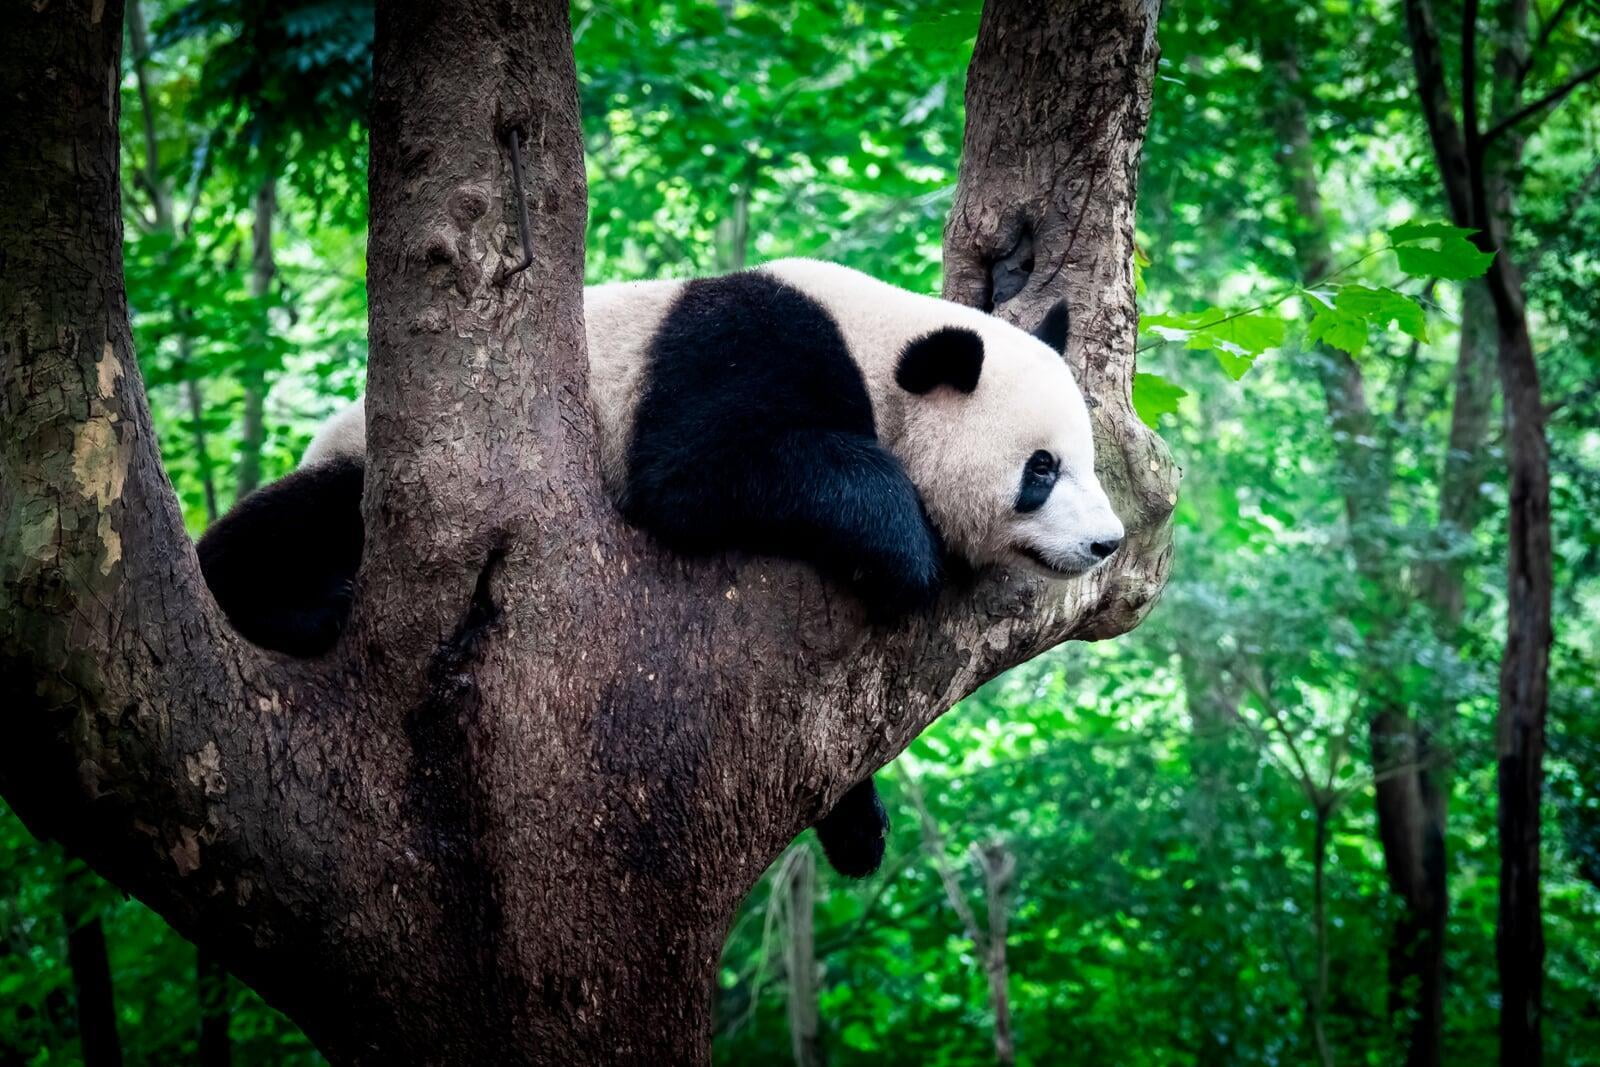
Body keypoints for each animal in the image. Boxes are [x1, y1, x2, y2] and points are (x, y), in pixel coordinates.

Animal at [197, 258, 1125, 878]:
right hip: (379, 471)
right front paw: (905, 549)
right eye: (1042, 469)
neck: (882, 351)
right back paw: (301, 603)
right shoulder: (742, 348)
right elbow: (700, 469)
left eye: (1087, 460)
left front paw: (860, 824)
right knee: (299, 520)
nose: (1107, 543)